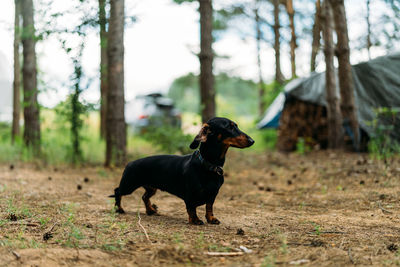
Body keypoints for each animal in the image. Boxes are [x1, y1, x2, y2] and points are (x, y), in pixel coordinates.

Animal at [109, 118, 253, 225]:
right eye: (230, 127)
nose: (252, 141)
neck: (208, 165)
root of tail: (130, 163)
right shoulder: (190, 195)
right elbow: (192, 208)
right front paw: (195, 220)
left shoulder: (213, 194)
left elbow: (209, 207)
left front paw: (211, 219)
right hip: (129, 185)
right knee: (117, 191)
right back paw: (119, 209)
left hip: (151, 188)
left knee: (144, 197)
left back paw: (150, 210)